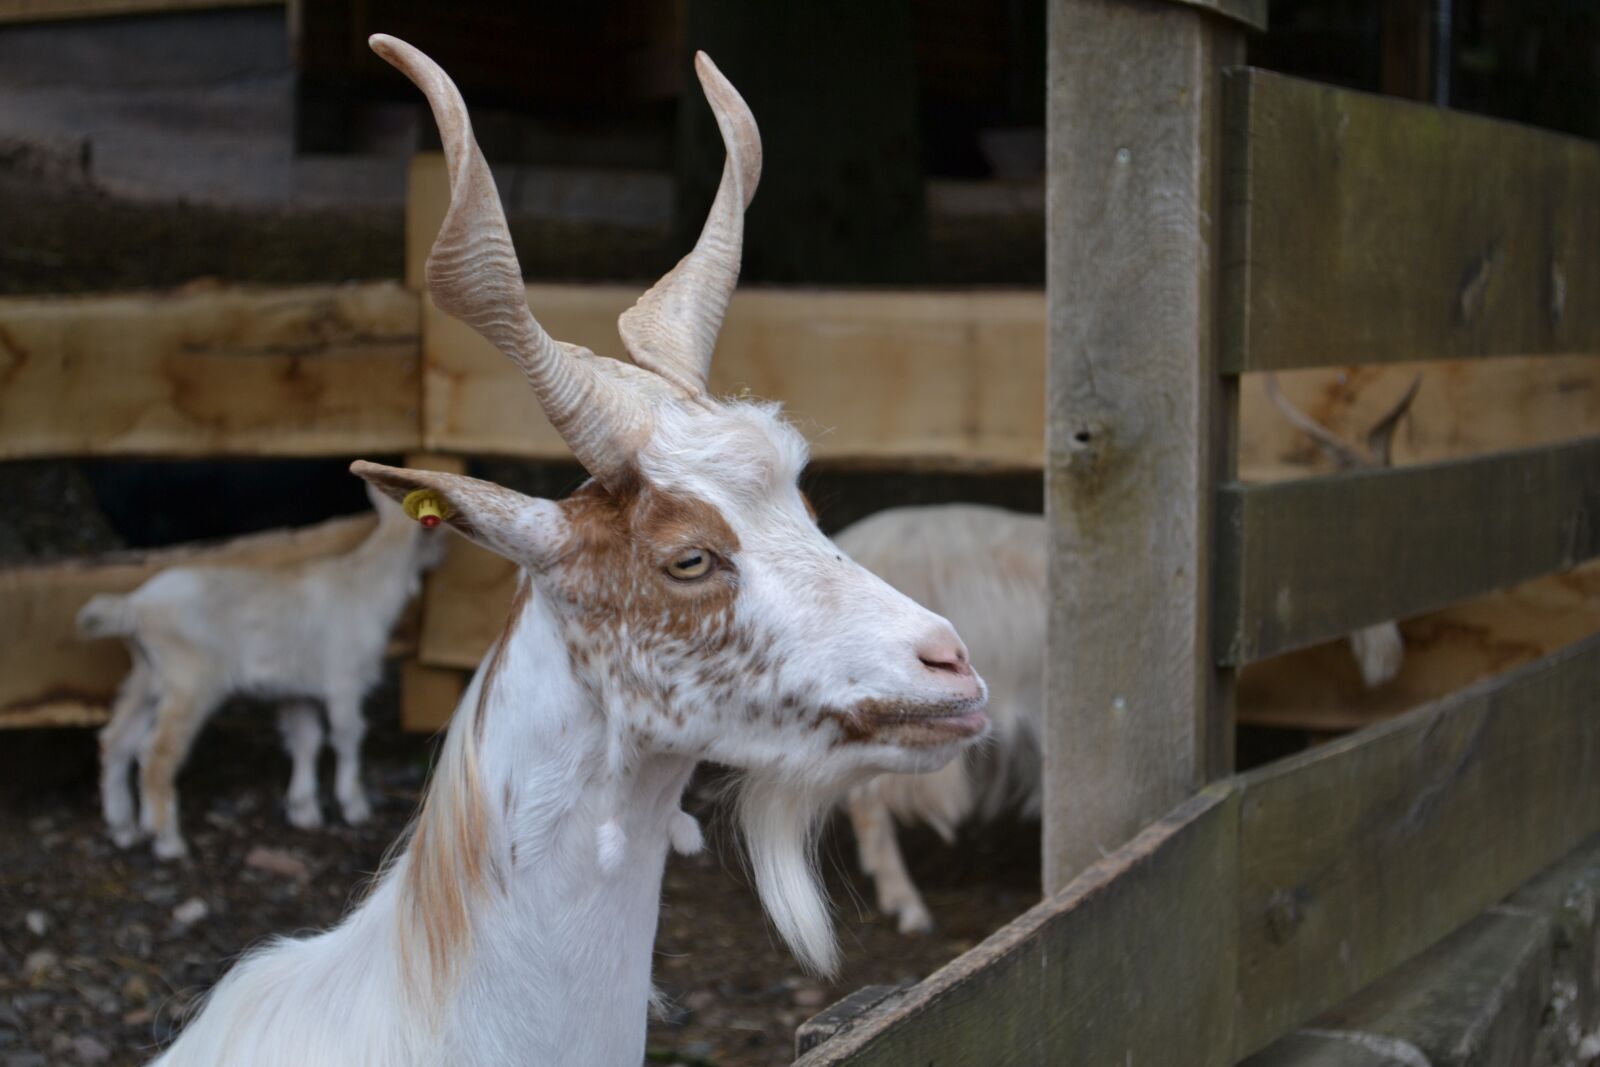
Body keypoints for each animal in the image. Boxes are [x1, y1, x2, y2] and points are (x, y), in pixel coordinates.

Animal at [79, 484, 443, 860]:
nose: (440, 558)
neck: (366, 583)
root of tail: (135, 607)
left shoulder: (298, 689)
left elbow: (306, 739)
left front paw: (304, 811)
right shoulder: (345, 679)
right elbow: (348, 736)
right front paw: (354, 807)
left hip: (148, 675)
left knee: (116, 740)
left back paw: (123, 829)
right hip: (191, 680)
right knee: (156, 752)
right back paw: (166, 840)